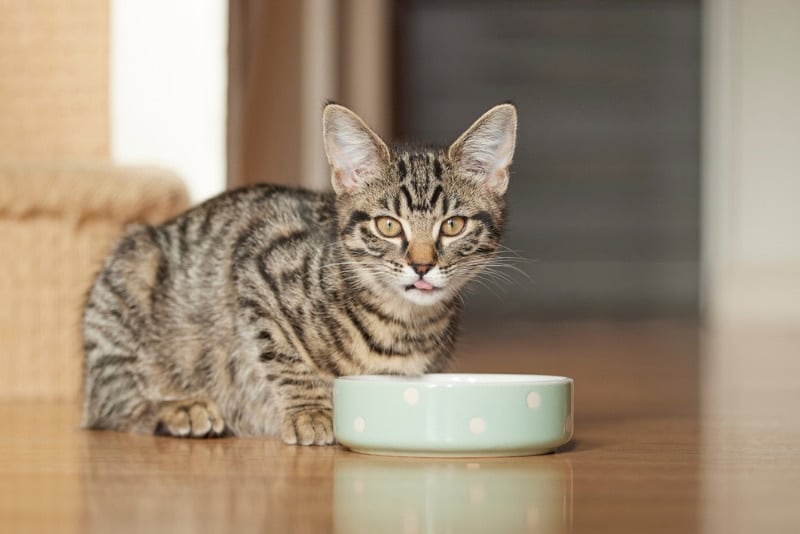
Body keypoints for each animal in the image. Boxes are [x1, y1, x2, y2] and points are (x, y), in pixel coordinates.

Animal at [83, 102, 520, 446]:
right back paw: (179, 409)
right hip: (131, 277)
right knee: (110, 403)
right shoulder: (258, 266)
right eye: (388, 226)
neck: (403, 323)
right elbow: (283, 356)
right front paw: (311, 412)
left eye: (453, 225)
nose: (423, 265)